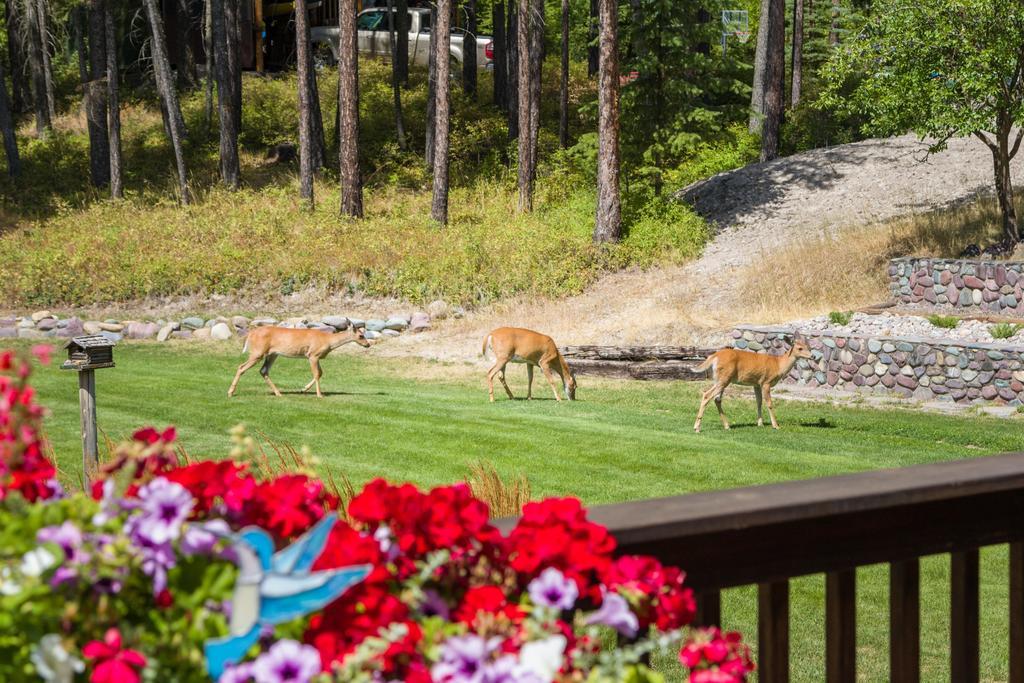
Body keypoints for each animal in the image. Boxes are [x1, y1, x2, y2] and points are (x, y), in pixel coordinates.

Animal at [226, 327, 370, 397]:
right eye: (361, 335)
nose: (368, 344)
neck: (328, 341)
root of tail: (251, 333)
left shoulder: (315, 356)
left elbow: (320, 373)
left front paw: (303, 389)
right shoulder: (312, 355)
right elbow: (317, 374)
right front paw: (319, 395)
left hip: (272, 354)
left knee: (263, 370)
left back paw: (278, 393)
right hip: (258, 352)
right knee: (241, 367)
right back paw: (230, 392)